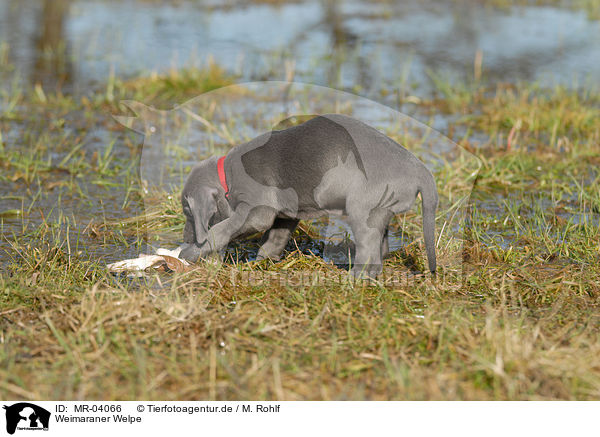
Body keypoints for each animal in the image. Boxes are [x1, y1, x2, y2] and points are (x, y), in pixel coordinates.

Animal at [177, 113, 436, 276]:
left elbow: (222, 229)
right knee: (381, 246)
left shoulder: (258, 210)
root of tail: (419, 168)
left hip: (363, 208)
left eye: (188, 210)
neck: (227, 175)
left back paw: (355, 276)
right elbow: (273, 240)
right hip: (381, 209)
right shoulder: (286, 215)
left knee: (369, 248)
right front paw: (261, 263)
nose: (186, 237)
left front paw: (190, 252)